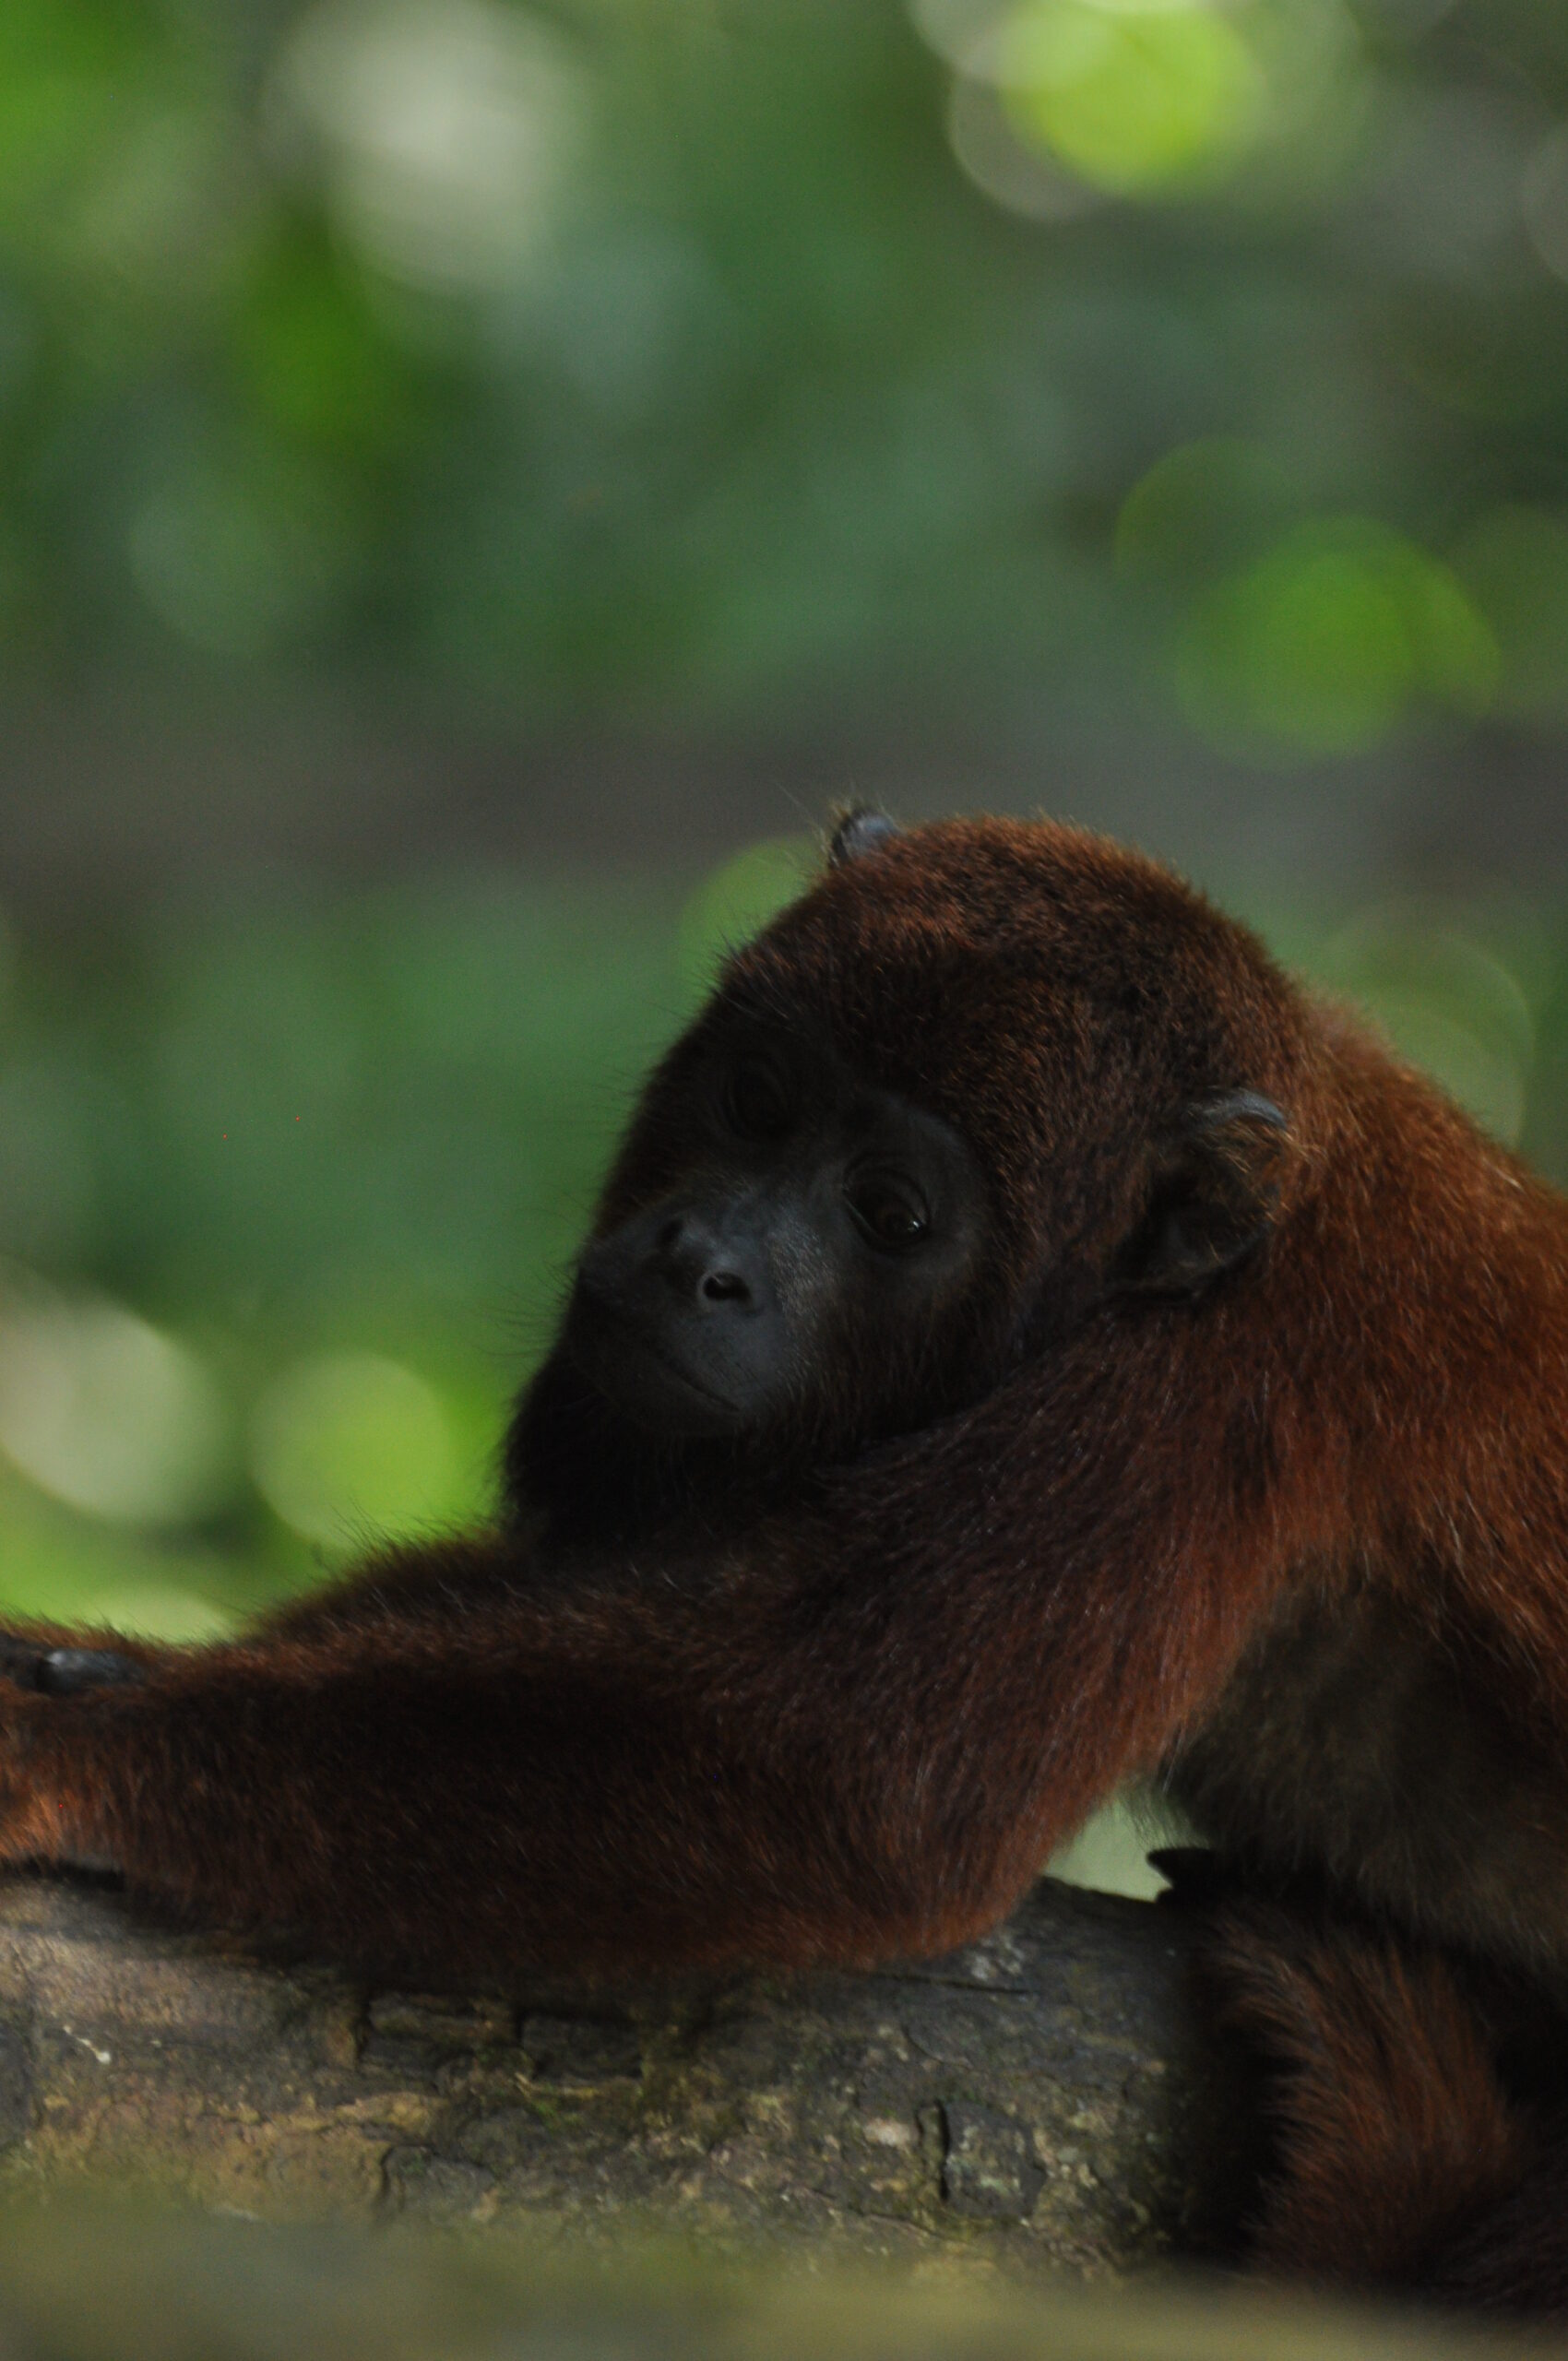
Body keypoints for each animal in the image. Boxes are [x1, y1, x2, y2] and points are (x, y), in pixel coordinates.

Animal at [0, 810, 1567, 2304]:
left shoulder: (1213, 1391)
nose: (701, 1257)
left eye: (891, 1212)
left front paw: (69, 1751)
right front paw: (116, 1664)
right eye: (758, 1100)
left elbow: (848, 1766)